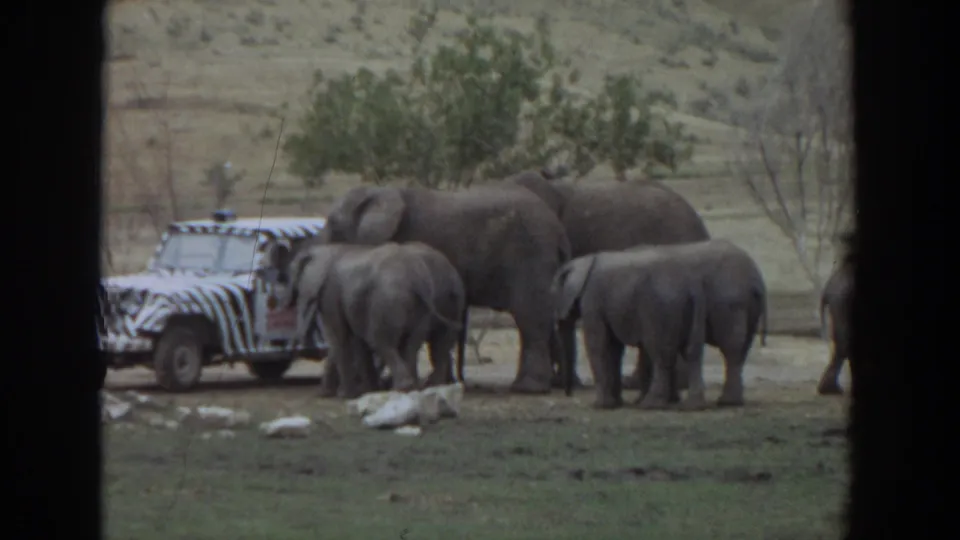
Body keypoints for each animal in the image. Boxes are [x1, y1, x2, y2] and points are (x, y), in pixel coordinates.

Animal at [270, 241, 467, 399]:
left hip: (387, 300)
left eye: (288, 277)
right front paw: (366, 391)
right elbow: (354, 340)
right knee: (416, 344)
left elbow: (339, 338)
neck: (326, 250)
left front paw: (344, 395)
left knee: (381, 341)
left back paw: (403, 388)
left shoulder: (329, 293)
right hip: (424, 306)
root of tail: (417, 280)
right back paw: (417, 388)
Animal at [320, 184, 572, 394]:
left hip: (531, 254)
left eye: (332, 222)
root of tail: (559, 231)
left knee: (529, 317)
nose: (327, 393)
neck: (379, 190)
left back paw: (528, 388)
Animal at [552, 250, 708, 410]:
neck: (583, 262)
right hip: (695, 307)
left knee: (660, 354)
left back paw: (651, 404)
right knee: (692, 352)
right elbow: (614, 348)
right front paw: (615, 403)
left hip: (660, 310)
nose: (569, 394)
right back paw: (692, 405)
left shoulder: (592, 299)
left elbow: (597, 345)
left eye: (552, 296)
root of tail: (691, 287)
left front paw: (601, 405)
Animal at [627, 239, 768, 407]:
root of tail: (755, 278)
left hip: (730, 301)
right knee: (743, 346)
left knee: (732, 346)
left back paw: (727, 402)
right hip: (747, 305)